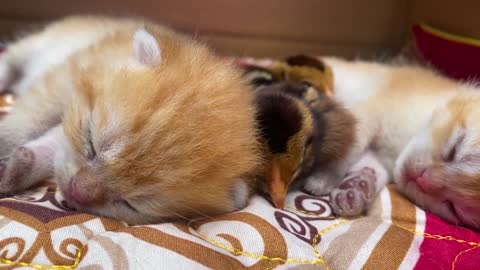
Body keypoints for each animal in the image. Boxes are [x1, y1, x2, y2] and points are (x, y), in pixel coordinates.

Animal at [0, 15, 260, 225]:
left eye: (131, 204)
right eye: (91, 143)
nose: (75, 192)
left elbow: (55, 146)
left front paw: (19, 168)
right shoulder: (64, 78)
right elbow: (29, 118)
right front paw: (6, 142)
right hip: (41, 43)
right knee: (10, 60)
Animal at [310, 57, 480, 230]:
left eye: (453, 208)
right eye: (454, 149)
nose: (420, 179)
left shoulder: (383, 159)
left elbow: (372, 167)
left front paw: (357, 187)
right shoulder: (370, 113)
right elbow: (351, 144)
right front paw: (325, 176)